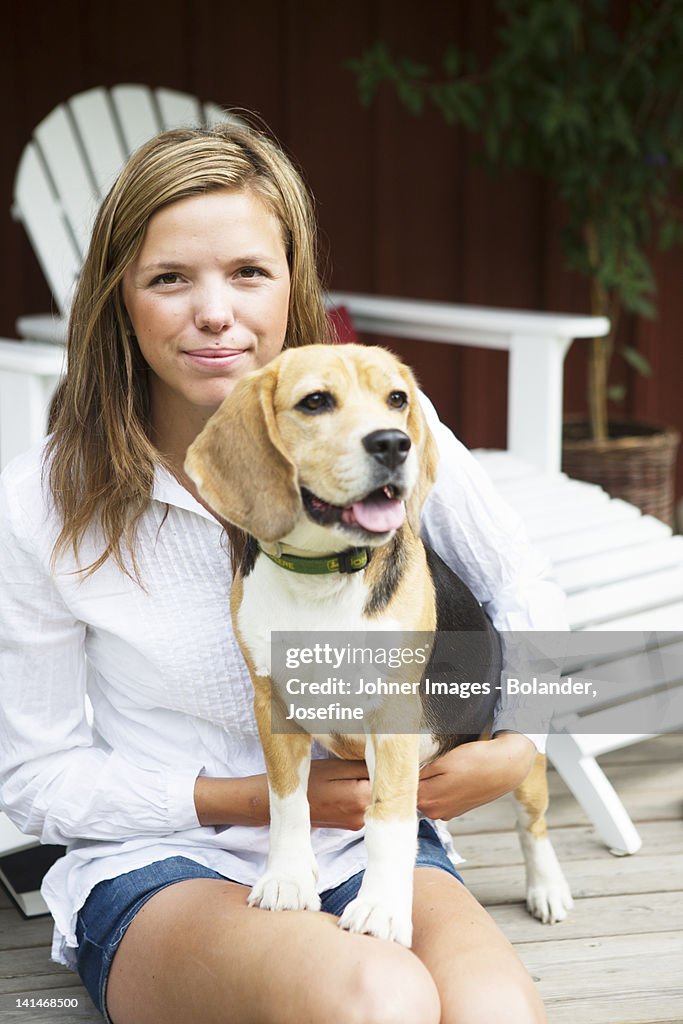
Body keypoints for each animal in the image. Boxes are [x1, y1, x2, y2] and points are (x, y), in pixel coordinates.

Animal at [185, 344, 573, 942]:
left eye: (397, 399)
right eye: (315, 402)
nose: (393, 443)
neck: (322, 578)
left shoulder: (392, 717)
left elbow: (388, 816)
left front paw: (382, 908)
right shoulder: (272, 704)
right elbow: (286, 803)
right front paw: (288, 880)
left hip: (519, 761)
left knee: (532, 821)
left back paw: (547, 887)